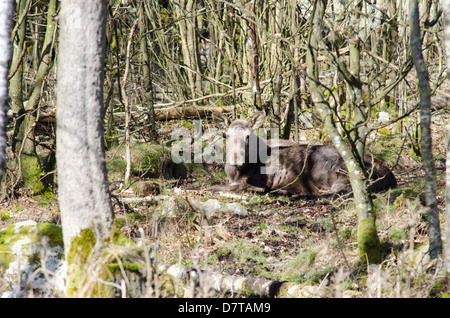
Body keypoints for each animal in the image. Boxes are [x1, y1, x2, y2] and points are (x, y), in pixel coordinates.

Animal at [211, 112, 398, 196]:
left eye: (248, 136)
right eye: (227, 135)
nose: (236, 160)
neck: (235, 173)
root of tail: (391, 177)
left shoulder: (262, 181)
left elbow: (220, 187)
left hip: (340, 171)